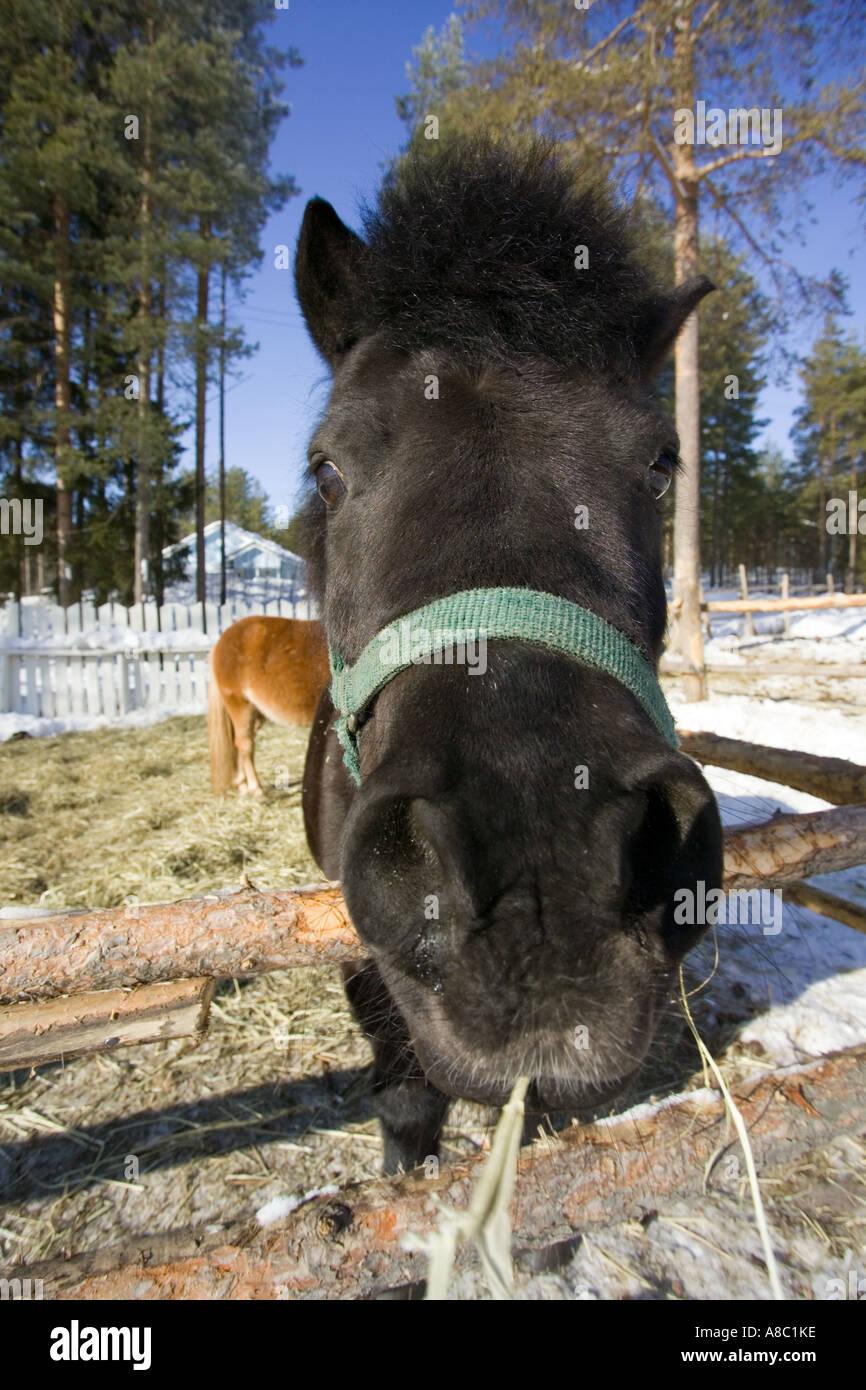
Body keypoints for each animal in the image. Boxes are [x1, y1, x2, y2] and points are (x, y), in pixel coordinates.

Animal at [208, 616, 329, 795]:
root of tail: (220, 642)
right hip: (240, 706)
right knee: (245, 745)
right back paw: (255, 788)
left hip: (256, 714)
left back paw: (242, 784)